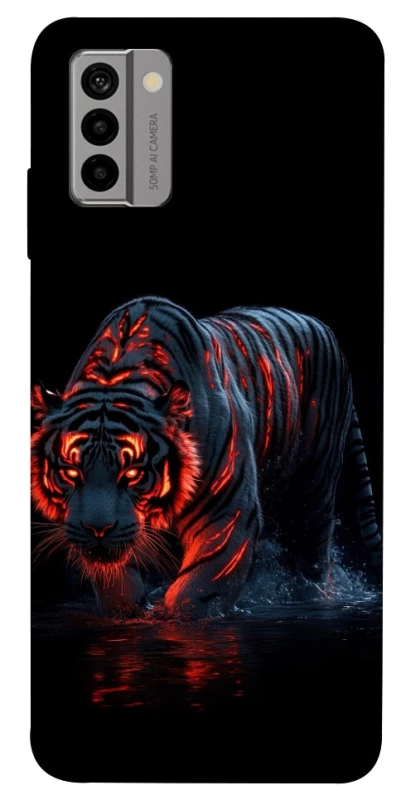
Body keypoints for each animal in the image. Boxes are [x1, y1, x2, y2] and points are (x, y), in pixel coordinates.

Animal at [31, 296, 382, 617]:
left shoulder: (226, 511)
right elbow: (117, 586)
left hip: (312, 490)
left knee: (311, 559)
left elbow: (199, 589)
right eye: (72, 473)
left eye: (132, 474)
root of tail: (324, 328)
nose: (98, 531)